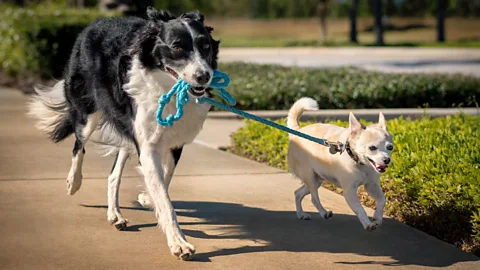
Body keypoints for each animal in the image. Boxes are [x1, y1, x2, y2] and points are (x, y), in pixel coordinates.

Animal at [28, 7, 219, 260]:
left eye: (205, 46)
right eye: (177, 47)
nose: (204, 76)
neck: (165, 85)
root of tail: (96, 22)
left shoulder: (174, 141)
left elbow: (165, 179)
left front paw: (147, 197)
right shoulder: (146, 146)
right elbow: (165, 200)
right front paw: (179, 243)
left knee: (113, 175)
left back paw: (115, 215)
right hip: (88, 111)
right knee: (79, 145)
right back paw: (73, 182)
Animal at [286, 98, 392, 231]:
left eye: (390, 147)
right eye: (372, 148)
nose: (387, 160)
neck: (360, 163)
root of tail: (297, 131)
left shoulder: (371, 186)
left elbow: (382, 200)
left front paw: (377, 217)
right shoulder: (349, 191)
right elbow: (360, 209)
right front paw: (368, 224)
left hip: (316, 180)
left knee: (298, 193)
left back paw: (301, 214)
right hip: (309, 176)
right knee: (314, 198)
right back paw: (323, 213)